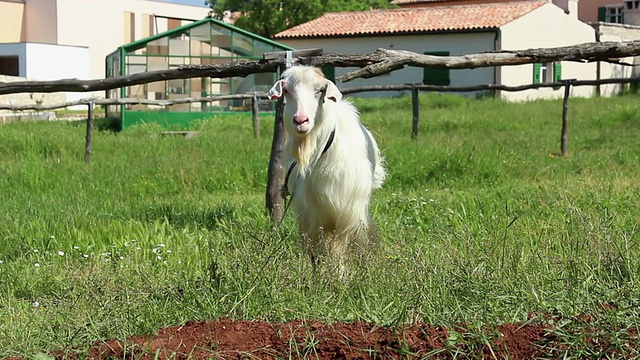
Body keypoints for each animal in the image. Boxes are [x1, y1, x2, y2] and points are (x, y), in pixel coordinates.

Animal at [268, 67, 388, 276]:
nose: (301, 120)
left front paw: (341, 274)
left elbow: (340, 246)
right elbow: (316, 249)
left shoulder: (347, 210)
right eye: (287, 91)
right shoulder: (312, 213)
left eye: (319, 90)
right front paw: (319, 274)